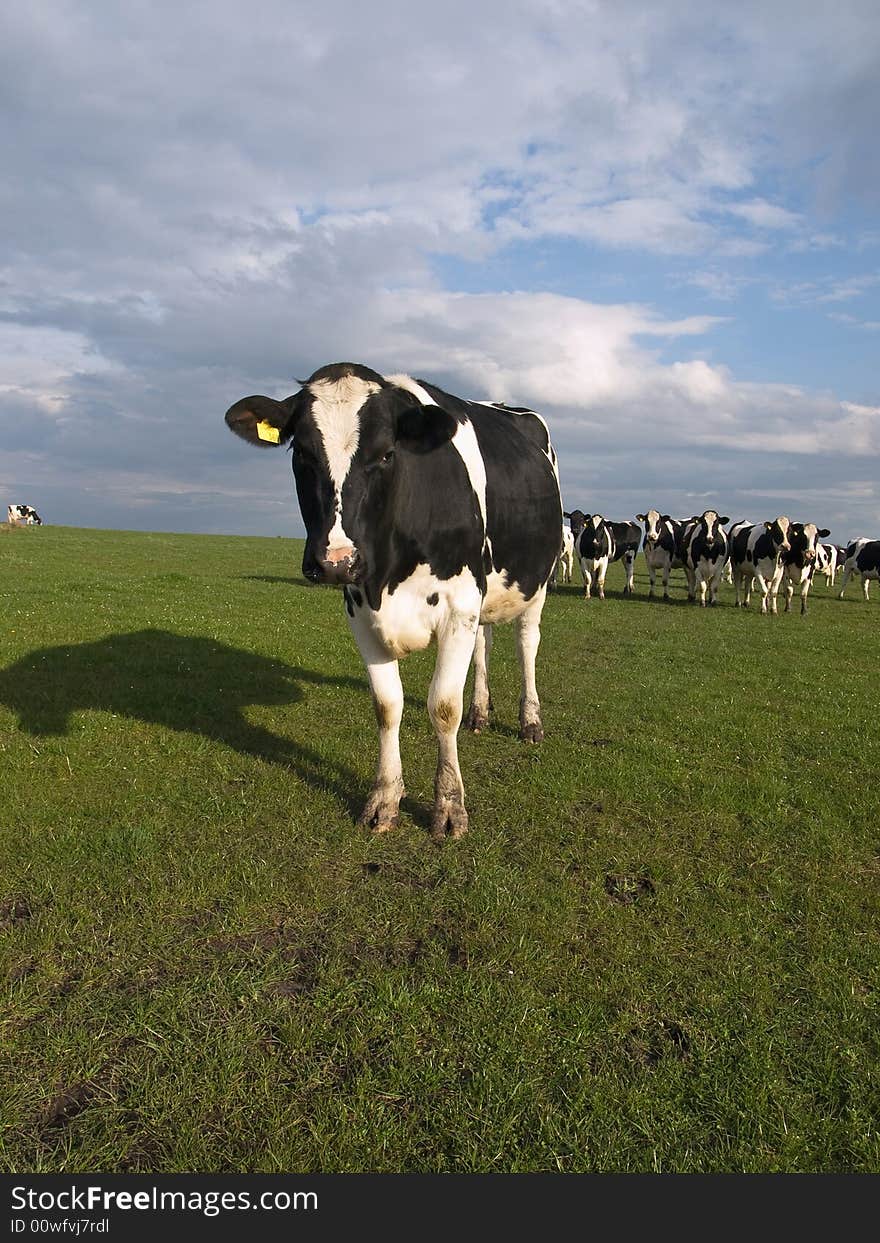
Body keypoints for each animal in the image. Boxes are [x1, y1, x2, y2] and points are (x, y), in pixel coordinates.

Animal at [223, 362, 559, 840]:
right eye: (301, 452)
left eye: (385, 454)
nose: (336, 561)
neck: (388, 574)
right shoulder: (361, 611)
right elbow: (387, 707)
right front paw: (384, 798)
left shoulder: (459, 605)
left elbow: (443, 706)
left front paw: (449, 807)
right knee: (484, 645)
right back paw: (480, 712)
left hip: (537, 583)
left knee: (526, 644)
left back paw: (530, 721)